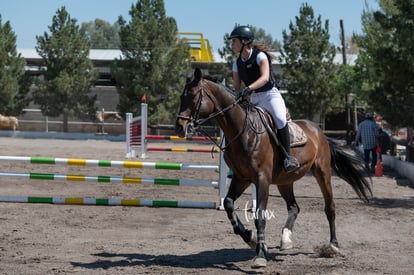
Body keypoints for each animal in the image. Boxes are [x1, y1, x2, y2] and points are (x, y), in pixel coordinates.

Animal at [175, 69, 372, 270]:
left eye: (193, 96)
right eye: (182, 96)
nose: (180, 127)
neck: (243, 131)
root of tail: (318, 131)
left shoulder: (262, 179)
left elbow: (260, 216)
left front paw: (260, 255)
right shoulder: (241, 177)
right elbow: (229, 204)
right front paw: (251, 238)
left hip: (322, 173)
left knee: (329, 207)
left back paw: (333, 245)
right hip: (285, 181)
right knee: (294, 207)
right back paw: (286, 239)